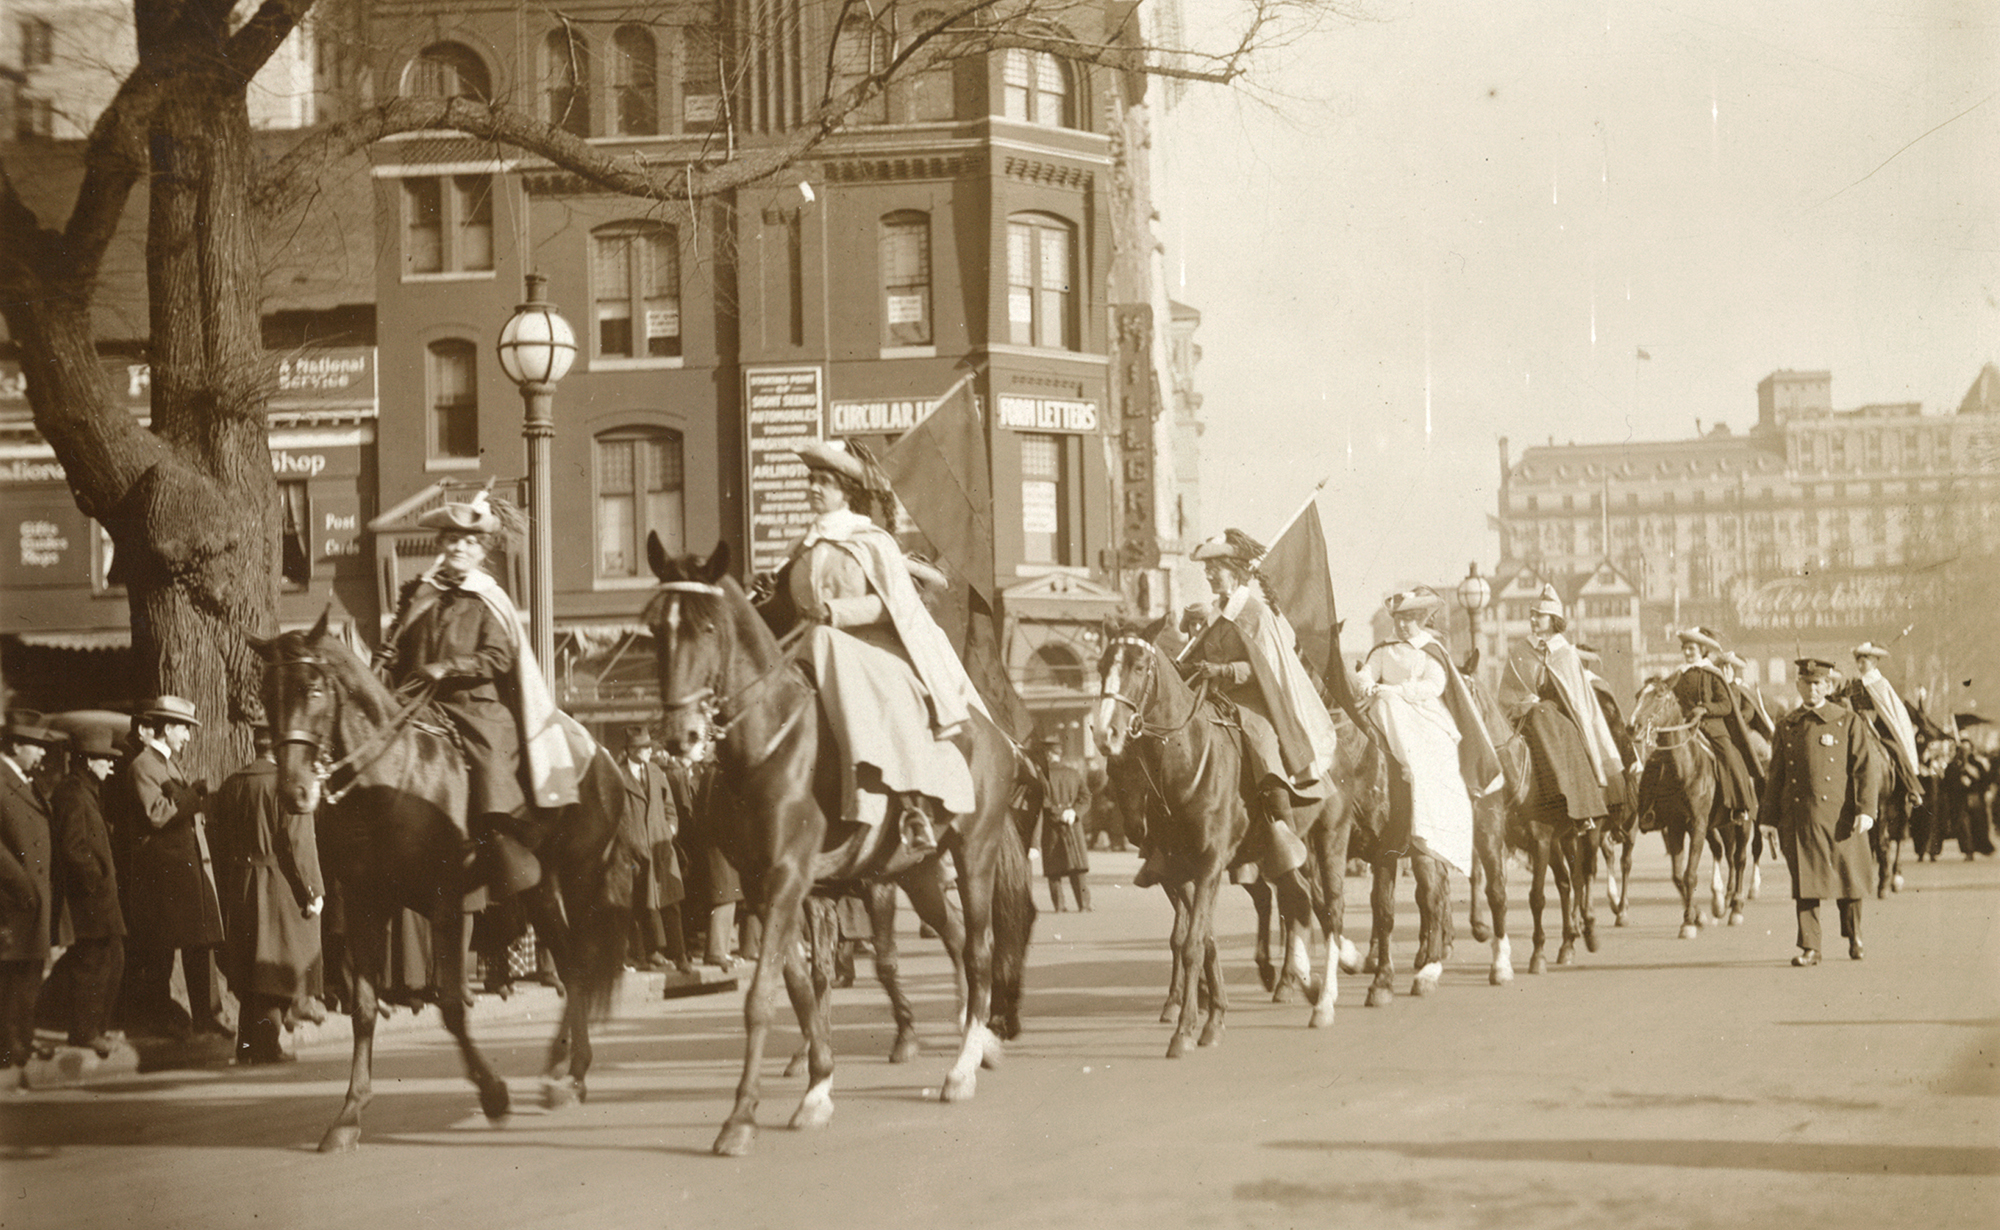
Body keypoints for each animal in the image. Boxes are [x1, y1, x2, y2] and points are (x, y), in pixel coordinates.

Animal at [250, 612, 636, 1152]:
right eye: (267, 692)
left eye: (313, 688)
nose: (294, 792)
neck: (390, 781)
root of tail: (602, 755)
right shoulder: (366, 904)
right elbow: (364, 1008)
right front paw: (348, 1115)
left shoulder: (448, 905)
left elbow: (451, 1006)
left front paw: (494, 1094)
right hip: (539, 888)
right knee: (570, 964)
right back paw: (566, 1072)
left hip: (579, 877)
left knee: (579, 959)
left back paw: (570, 1072)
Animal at [648, 544, 1040, 1160]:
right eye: (654, 629)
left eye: (707, 627)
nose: (679, 735)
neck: (769, 747)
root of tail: (993, 732)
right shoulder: (767, 888)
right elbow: (801, 987)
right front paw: (816, 1087)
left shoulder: (790, 879)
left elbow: (762, 997)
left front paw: (740, 1118)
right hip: (918, 872)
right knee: (954, 936)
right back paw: (978, 1044)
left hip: (972, 855)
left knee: (978, 951)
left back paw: (962, 1068)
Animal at [1088, 612, 1352, 1048]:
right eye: (1101, 665)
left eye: (1139, 667)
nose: (1105, 732)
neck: (1188, 761)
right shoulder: (1181, 869)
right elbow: (1200, 940)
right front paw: (1211, 1017)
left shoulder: (1210, 862)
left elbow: (1194, 942)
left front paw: (1185, 1030)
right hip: (1279, 856)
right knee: (1297, 902)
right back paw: (1299, 981)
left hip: (1330, 840)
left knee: (1328, 911)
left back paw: (1325, 1000)